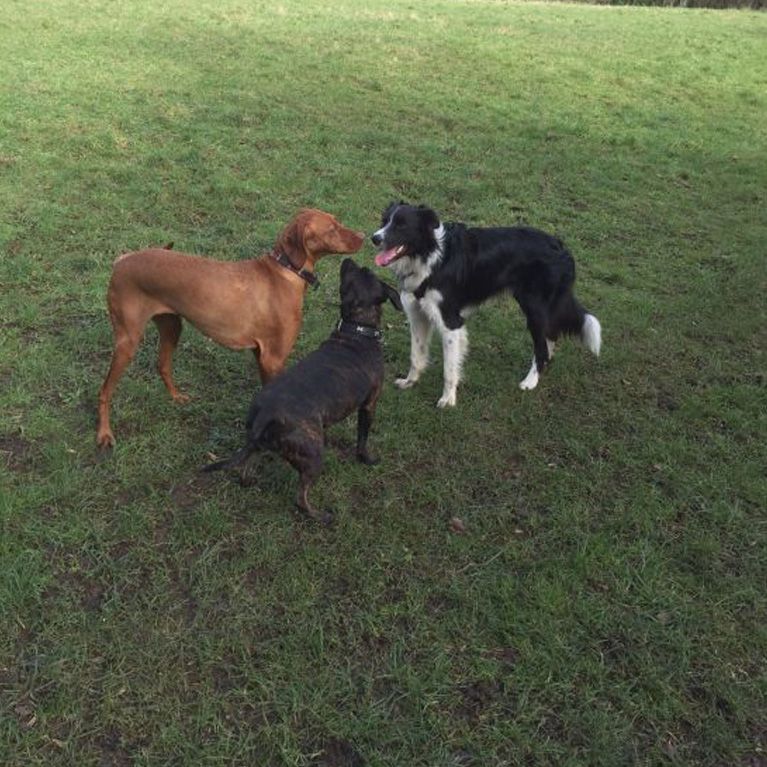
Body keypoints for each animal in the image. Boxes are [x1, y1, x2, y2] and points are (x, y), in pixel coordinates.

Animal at [97, 210, 366, 450]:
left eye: (337, 221)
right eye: (331, 229)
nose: (364, 235)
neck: (284, 271)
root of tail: (122, 261)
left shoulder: (261, 356)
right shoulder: (273, 359)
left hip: (172, 327)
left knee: (162, 365)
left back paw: (176, 397)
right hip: (127, 342)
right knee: (104, 391)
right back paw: (104, 434)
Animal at [204, 260, 402, 524]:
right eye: (365, 272)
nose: (349, 260)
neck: (356, 330)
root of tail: (265, 414)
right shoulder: (369, 405)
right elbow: (363, 438)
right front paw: (367, 459)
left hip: (259, 443)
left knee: (247, 463)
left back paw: (249, 481)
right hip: (314, 456)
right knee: (300, 498)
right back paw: (321, 517)